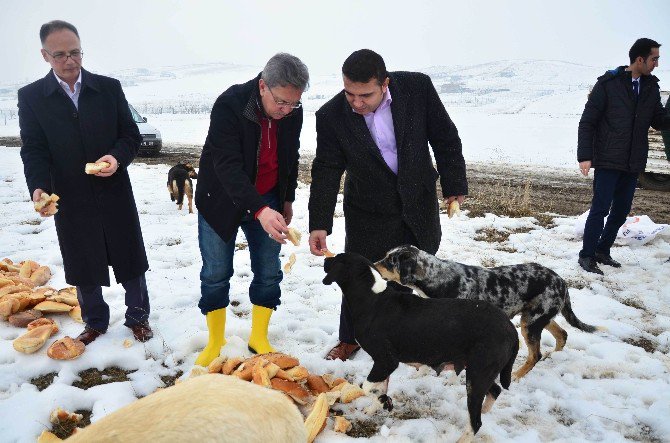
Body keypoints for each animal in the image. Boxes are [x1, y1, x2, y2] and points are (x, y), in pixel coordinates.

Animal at [322, 251, 520, 442]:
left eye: (337, 258)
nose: (324, 259)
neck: (372, 298)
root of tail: (511, 329)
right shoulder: (382, 365)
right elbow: (380, 387)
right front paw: (377, 405)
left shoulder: (386, 361)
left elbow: (367, 386)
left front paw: (383, 400)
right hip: (479, 372)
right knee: (494, 391)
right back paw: (485, 410)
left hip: (477, 376)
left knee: (476, 422)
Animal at [378, 245, 604, 380]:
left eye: (390, 261)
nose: (373, 263)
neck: (439, 279)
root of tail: (562, 281)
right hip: (537, 317)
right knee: (562, 335)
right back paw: (554, 357)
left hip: (530, 323)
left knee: (535, 355)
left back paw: (517, 375)